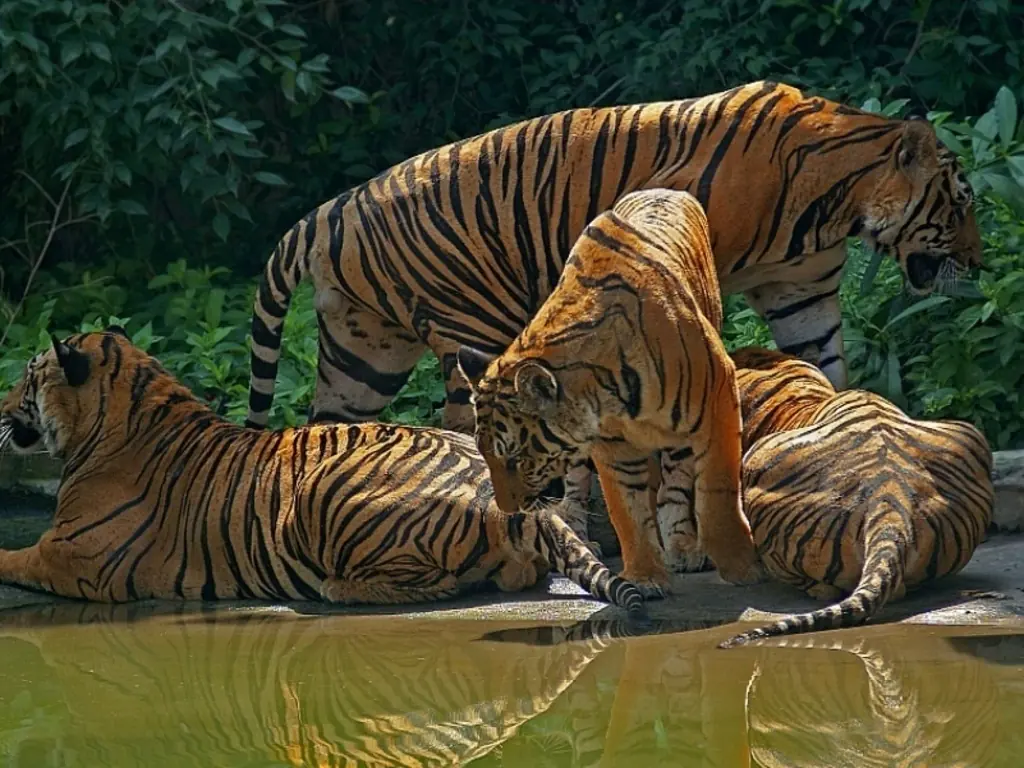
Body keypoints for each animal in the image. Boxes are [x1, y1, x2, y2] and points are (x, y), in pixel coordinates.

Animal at [0, 328, 642, 612]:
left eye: (27, 376)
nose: (2, 407)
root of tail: (507, 499)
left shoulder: (70, 555)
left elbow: (10, 556)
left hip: (315, 497)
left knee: (440, 582)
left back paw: (337, 588)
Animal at [244, 79, 981, 548]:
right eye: (962, 202)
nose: (978, 262)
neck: (835, 203)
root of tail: (330, 210)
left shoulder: (803, 294)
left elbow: (825, 370)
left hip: (362, 355)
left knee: (325, 430)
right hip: (469, 327)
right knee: (463, 429)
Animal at [455, 188, 764, 598]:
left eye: (516, 459)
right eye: (486, 455)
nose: (507, 511)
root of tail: (663, 190)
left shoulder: (718, 400)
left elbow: (717, 494)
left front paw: (742, 567)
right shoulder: (611, 445)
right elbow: (626, 510)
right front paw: (645, 576)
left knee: (676, 481)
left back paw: (683, 546)